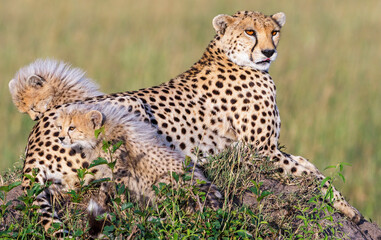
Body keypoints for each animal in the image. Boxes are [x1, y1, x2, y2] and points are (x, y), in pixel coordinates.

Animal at [13, 10, 360, 233]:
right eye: (250, 31)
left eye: (273, 31)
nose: (268, 51)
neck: (229, 56)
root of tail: (34, 141)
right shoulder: (260, 151)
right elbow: (313, 174)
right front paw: (347, 208)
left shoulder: (269, 149)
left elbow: (308, 165)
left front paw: (345, 206)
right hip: (130, 105)